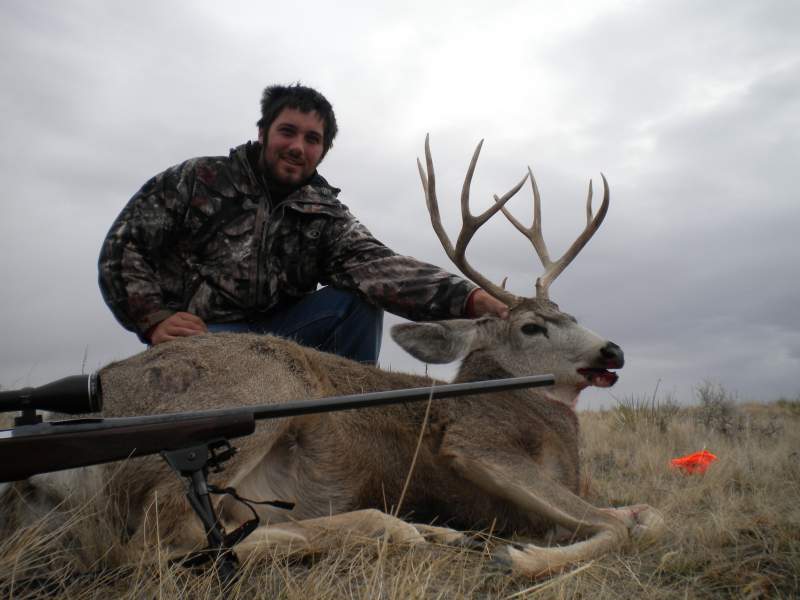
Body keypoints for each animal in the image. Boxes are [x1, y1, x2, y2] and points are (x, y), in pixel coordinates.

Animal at [3, 135, 663, 579]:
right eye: (531, 327)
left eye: (571, 314)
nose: (612, 349)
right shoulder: (478, 447)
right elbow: (616, 526)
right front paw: (518, 557)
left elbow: (646, 514)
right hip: (263, 390)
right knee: (166, 540)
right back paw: (398, 530)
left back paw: (433, 534)